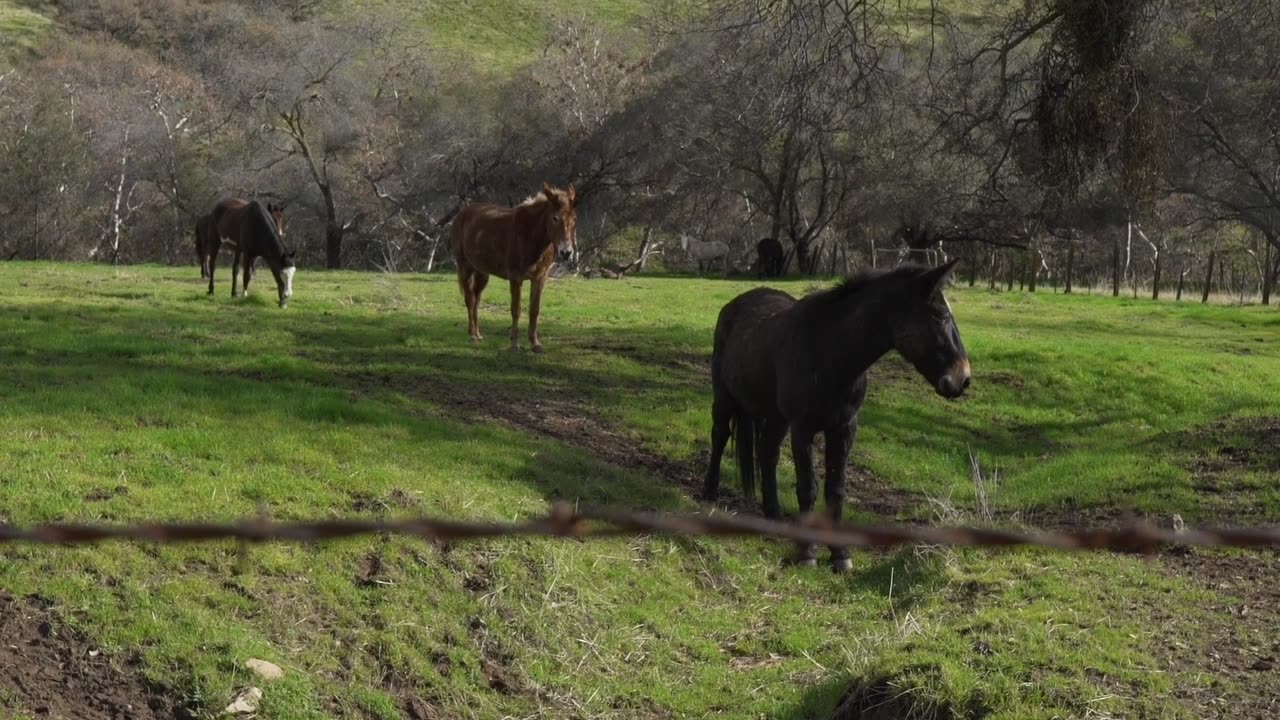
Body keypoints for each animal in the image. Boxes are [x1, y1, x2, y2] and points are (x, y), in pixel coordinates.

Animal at [445, 180, 576, 351]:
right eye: (555, 218)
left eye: (574, 219)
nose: (566, 252)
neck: (529, 235)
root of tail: (460, 215)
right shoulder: (515, 278)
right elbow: (516, 309)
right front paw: (515, 344)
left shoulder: (540, 278)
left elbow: (534, 310)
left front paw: (535, 343)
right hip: (465, 267)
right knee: (469, 299)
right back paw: (472, 335)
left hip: (482, 273)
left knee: (476, 299)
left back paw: (478, 334)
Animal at [701, 257, 967, 566]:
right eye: (940, 315)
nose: (963, 378)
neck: (830, 353)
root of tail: (734, 305)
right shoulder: (802, 428)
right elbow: (808, 487)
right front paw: (807, 553)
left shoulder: (844, 427)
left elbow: (836, 489)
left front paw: (840, 554)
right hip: (724, 398)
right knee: (720, 436)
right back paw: (710, 492)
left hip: (777, 418)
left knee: (767, 453)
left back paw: (774, 513)